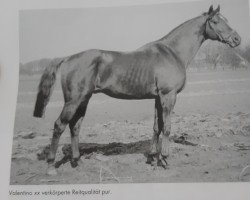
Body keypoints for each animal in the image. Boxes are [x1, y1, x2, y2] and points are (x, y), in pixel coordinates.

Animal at [32, 5, 240, 175]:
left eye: (227, 20)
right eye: (215, 21)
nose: (237, 39)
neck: (172, 52)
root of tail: (68, 58)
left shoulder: (158, 98)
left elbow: (157, 126)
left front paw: (153, 158)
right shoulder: (168, 96)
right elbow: (167, 127)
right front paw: (165, 159)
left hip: (84, 99)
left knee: (75, 126)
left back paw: (77, 162)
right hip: (73, 100)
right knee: (59, 125)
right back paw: (51, 167)